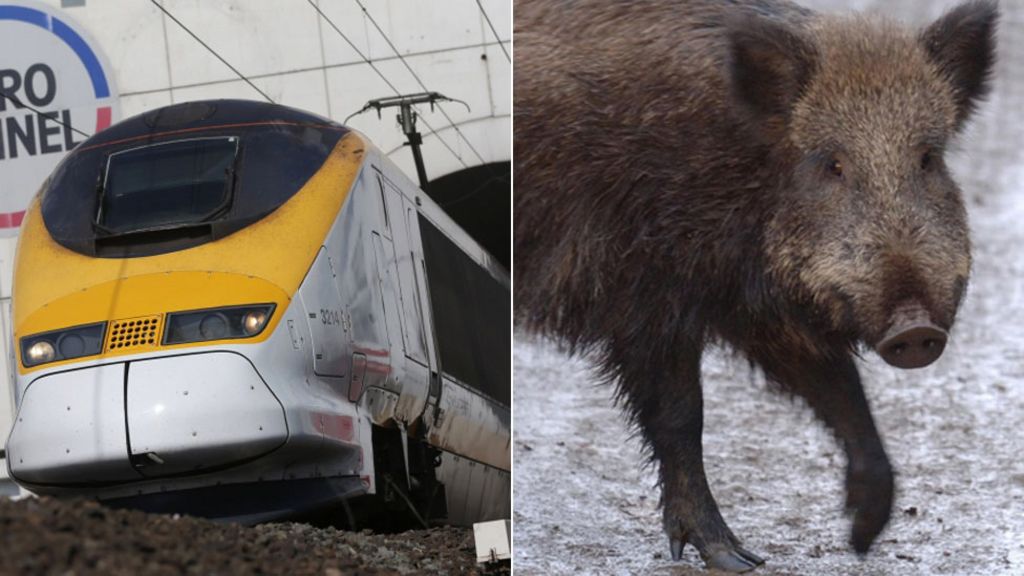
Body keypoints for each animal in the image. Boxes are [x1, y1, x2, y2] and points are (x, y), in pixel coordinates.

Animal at [513, 0, 997, 571]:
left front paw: (861, 537)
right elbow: (682, 415)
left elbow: (842, 391)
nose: (916, 329)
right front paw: (735, 558)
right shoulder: (644, 292)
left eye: (928, 159)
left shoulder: (758, 310)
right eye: (832, 164)